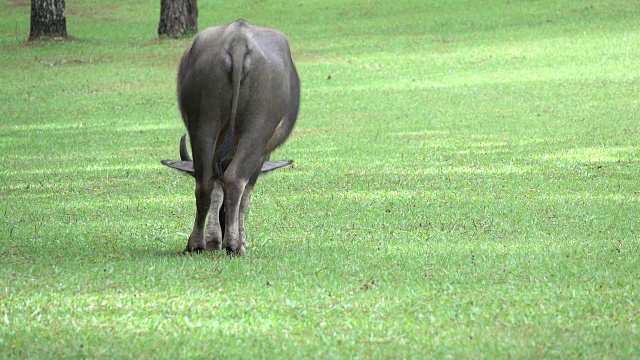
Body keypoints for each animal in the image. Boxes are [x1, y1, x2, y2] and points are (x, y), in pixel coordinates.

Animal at [160, 20, 300, 256]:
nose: (225, 225)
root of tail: (238, 41)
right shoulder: (261, 157)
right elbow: (245, 196)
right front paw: (239, 239)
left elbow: (217, 190)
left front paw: (213, 239)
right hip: (258, 129)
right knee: (236, 179)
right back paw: (234, 245)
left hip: (203, 122)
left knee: (205, 183)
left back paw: (195, 243)